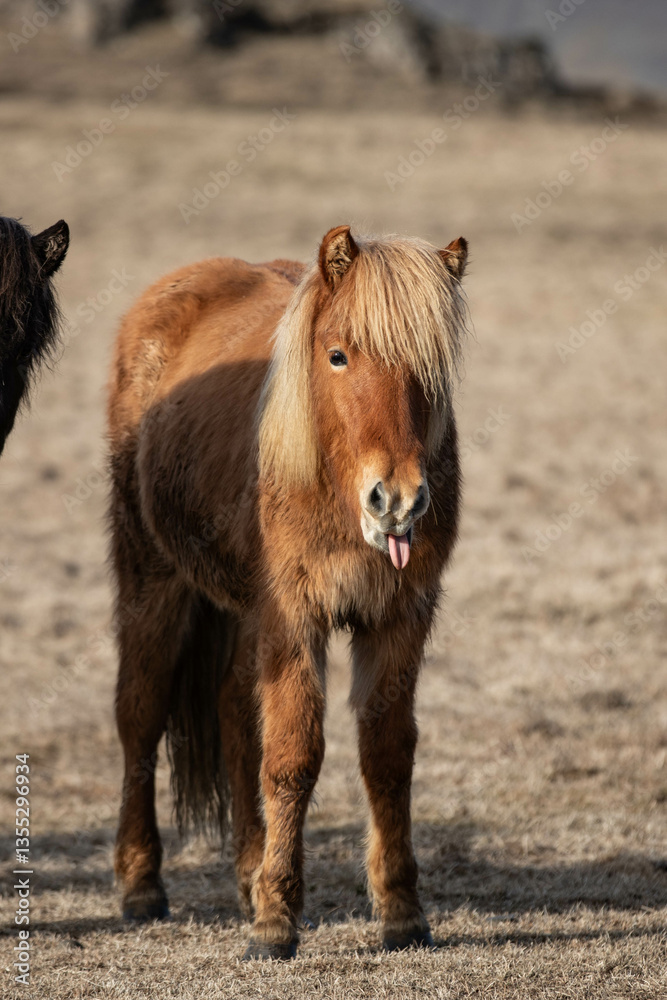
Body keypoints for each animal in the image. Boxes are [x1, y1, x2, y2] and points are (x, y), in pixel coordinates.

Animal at [107, 224, 469, 959]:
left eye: (430, 369)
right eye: (337, 355)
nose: (397, 501)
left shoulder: (399, 620)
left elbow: (386, 754)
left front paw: (401, 912)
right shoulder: (294, 619)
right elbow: (293, 757)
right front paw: (276, 923)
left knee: (233, 715)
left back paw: (248, 873)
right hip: (152, 581)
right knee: (139, 714)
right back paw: (141, 887)